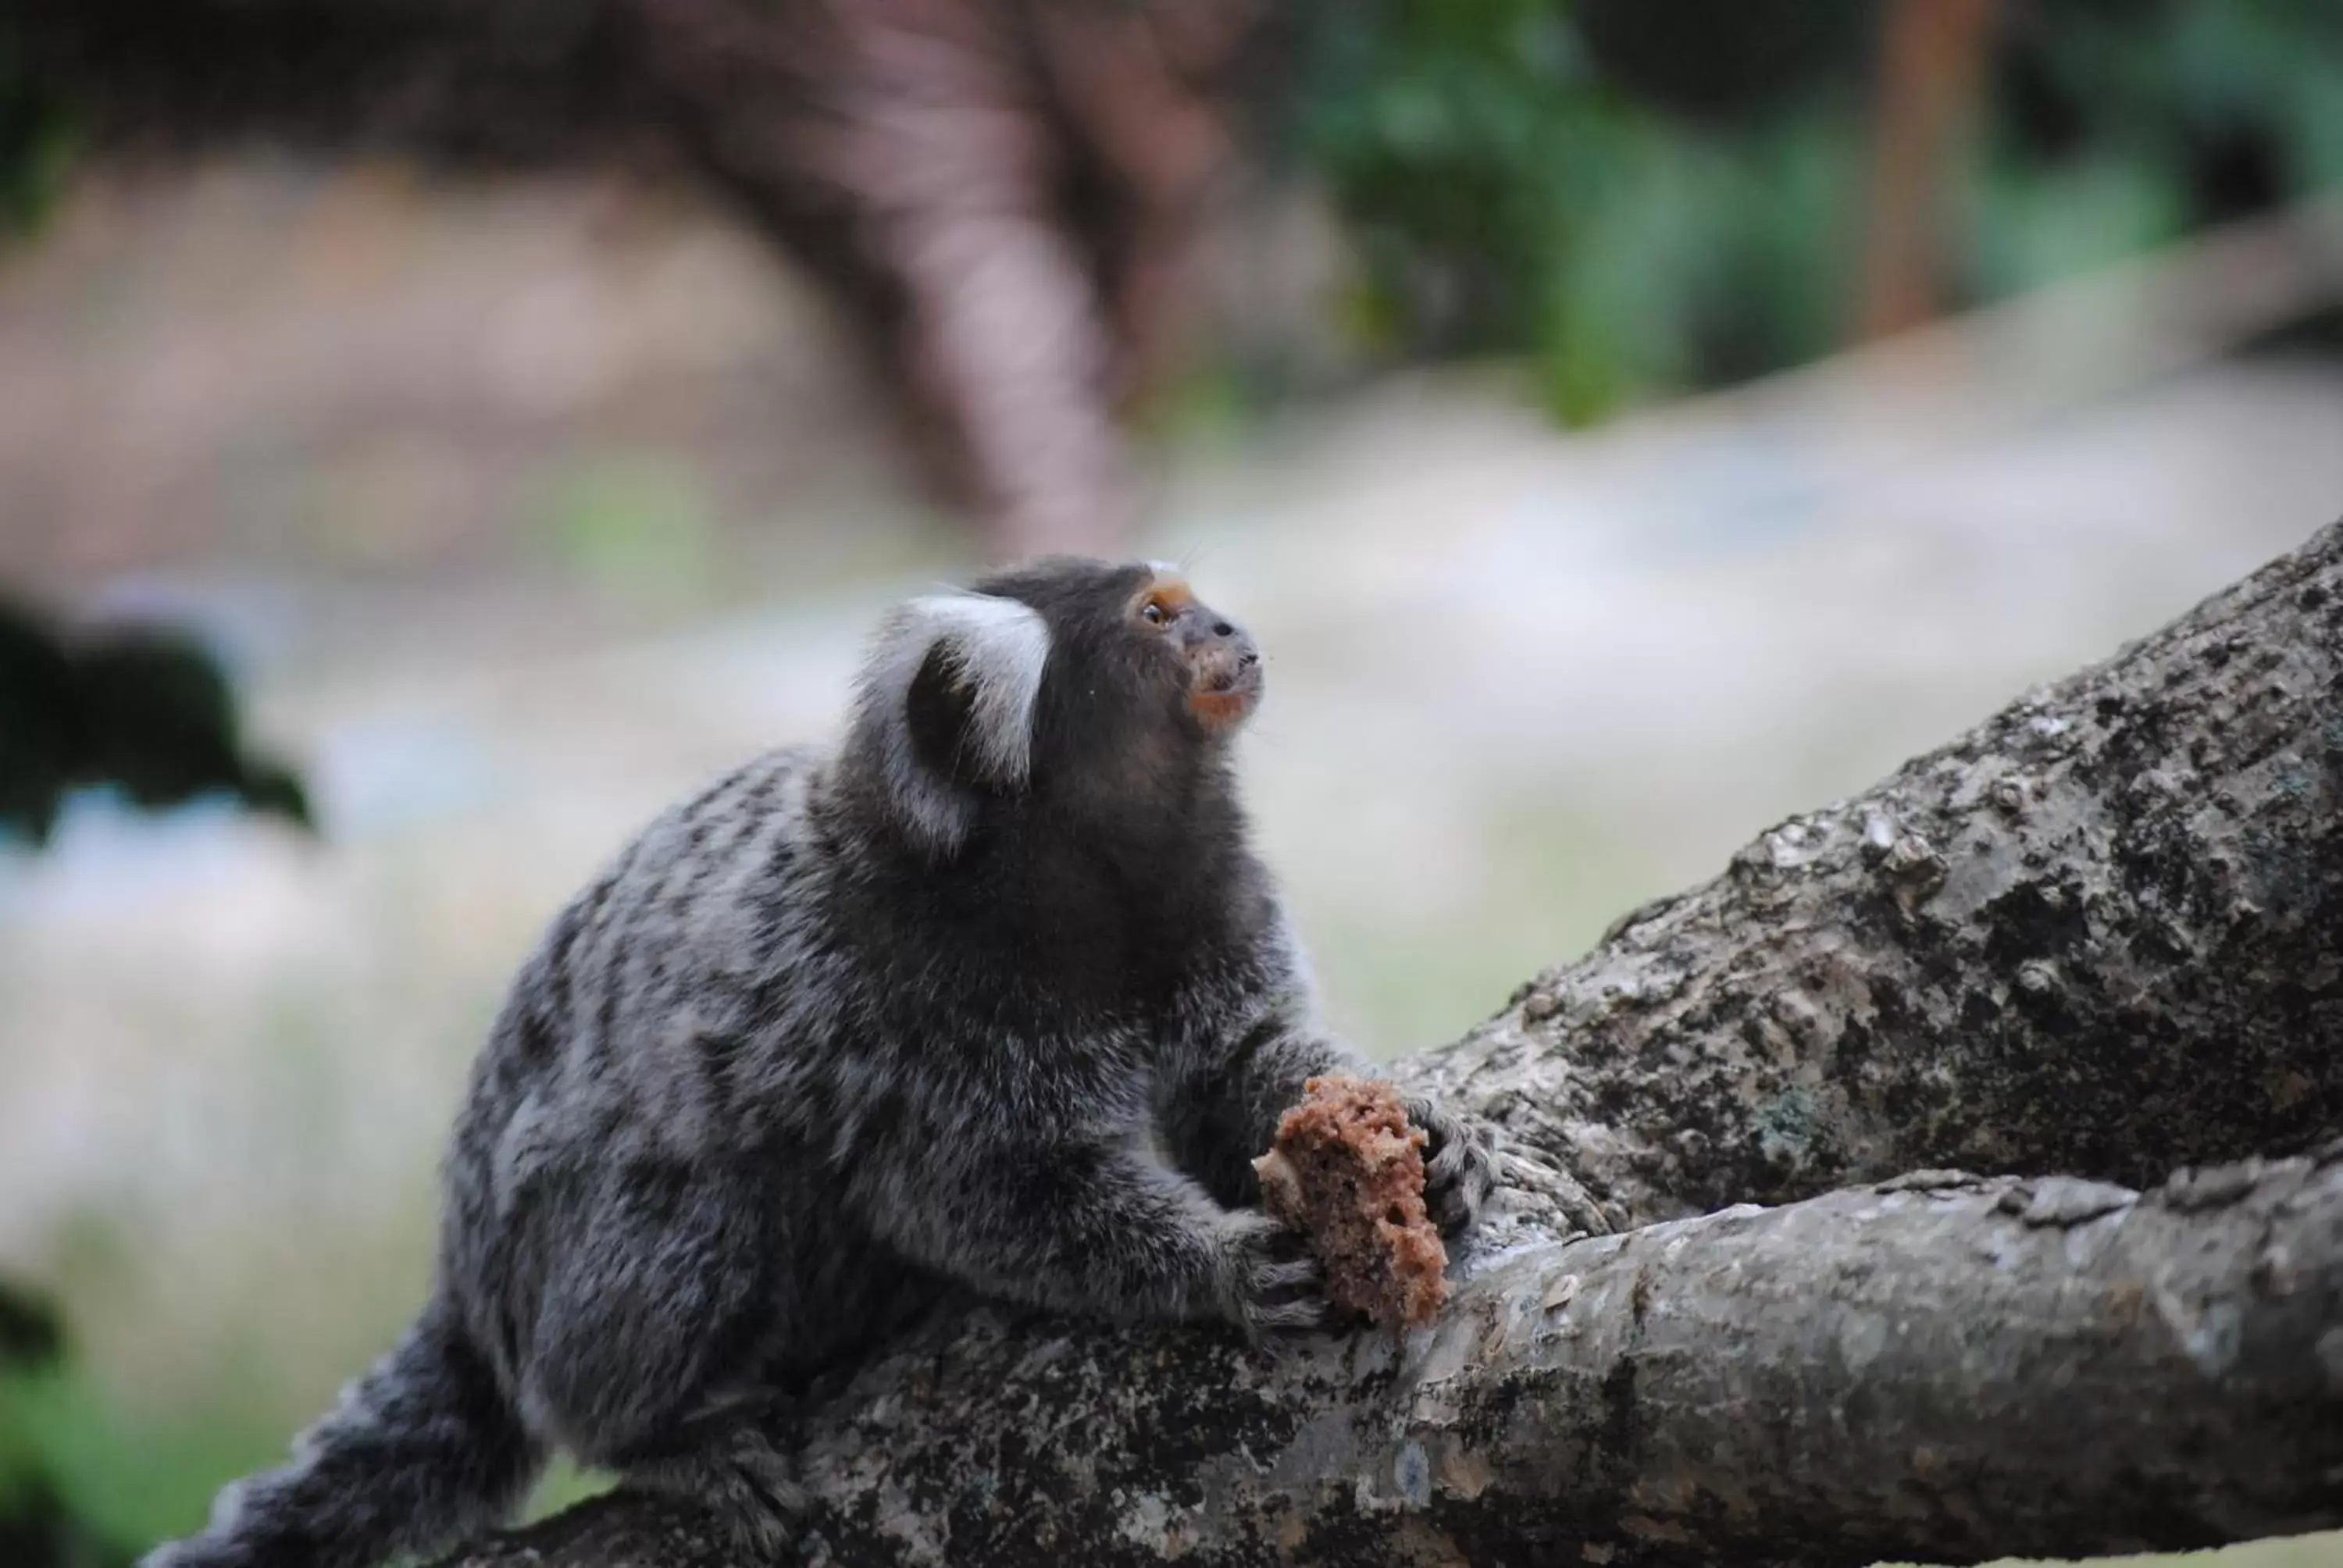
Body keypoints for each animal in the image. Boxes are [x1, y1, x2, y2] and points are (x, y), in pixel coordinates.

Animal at [141, 555, 1500, 1556]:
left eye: (1197, 600)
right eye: (1159, 618)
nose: (1232, 628)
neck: (1096, 877)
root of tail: (467, 1282)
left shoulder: (1215, 913)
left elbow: (1252, 1067)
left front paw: (1427, 1141)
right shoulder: (907, 1009)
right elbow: (985, 1189)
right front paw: (1218, 1267)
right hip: (561, 1262)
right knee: (686, 1212)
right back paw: (661, 1435)